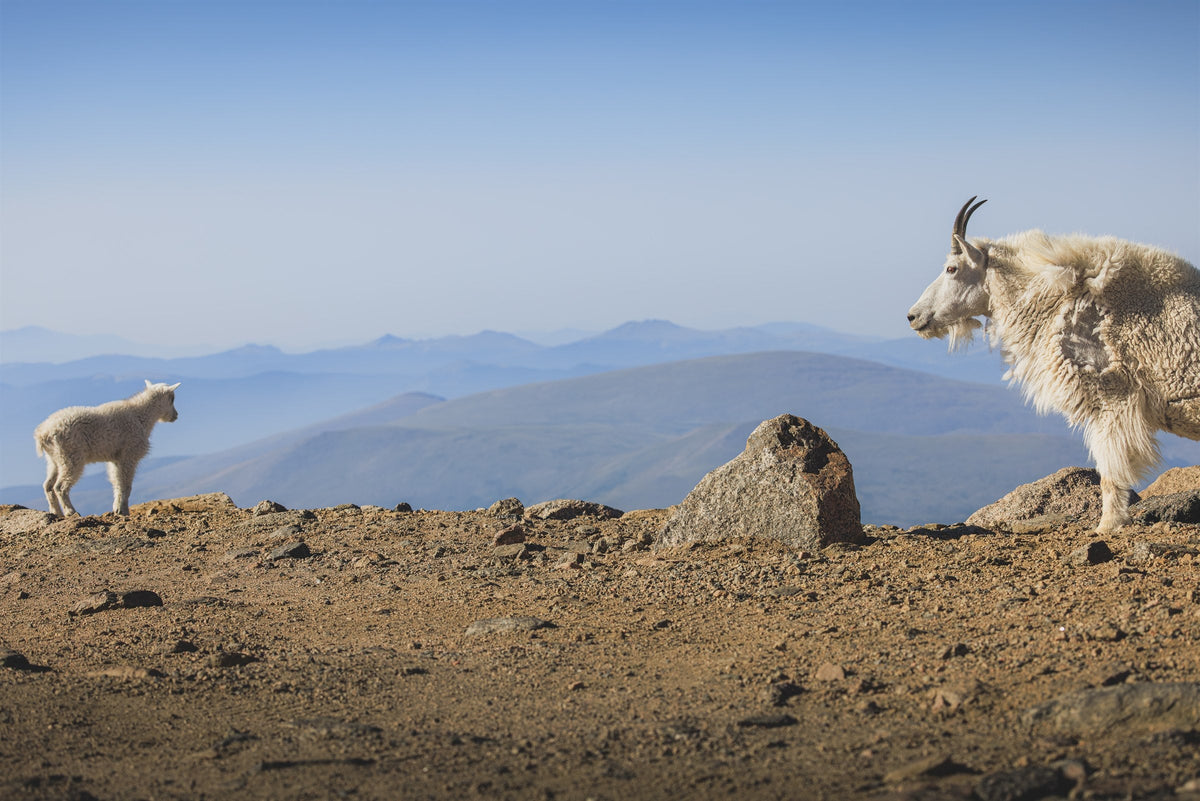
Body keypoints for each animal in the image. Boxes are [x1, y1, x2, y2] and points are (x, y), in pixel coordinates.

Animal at [34, 380, 181, 517]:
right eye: (172, 398)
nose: (176, 415)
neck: (141, 416)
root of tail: (43, 434)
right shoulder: (129, 455)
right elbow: (126, 485)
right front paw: (123, 511)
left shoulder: (115, 458)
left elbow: (117, 482)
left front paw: (117, 509)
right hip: (70, 455)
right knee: (60, 486)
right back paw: (71, 511)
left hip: (54, 459)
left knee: (48, 485)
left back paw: (56, 512)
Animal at [907, 198, 1200, 532]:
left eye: (951, 268)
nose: (913, 316)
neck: (1057, 299)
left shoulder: (1112, 398)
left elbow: (1110, 473)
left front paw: (1107, 526)